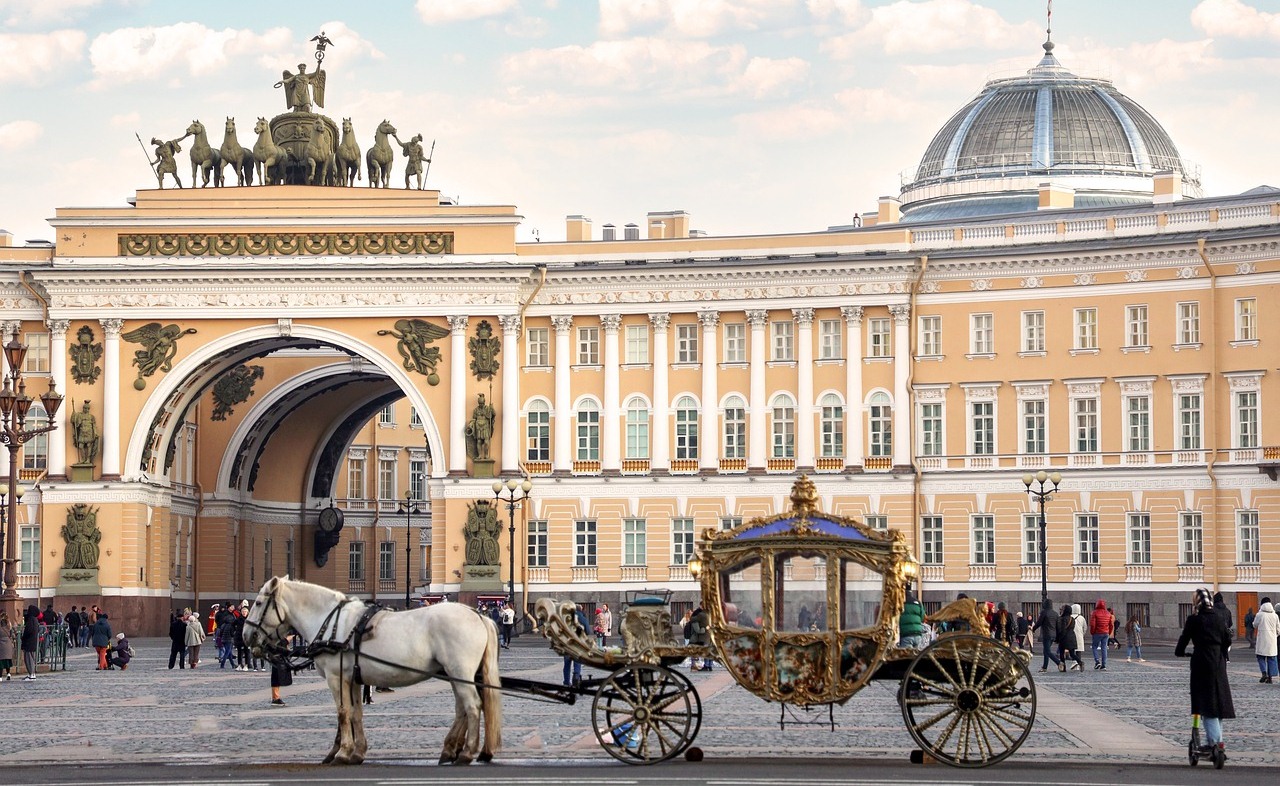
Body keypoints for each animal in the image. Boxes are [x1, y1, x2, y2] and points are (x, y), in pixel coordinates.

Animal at [241, 576, 501, 768]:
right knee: (462, 709)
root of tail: (478, 615)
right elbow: (355, 713)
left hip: (461, 673)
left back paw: (466, 753)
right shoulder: (353, 679)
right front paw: (357, 752)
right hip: (456, 674)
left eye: (258, 603)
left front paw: (342, 753)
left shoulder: (336, 678)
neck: (331, 623)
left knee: (472, 706)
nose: (246, 635)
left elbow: (342, 713)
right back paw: (450, 750)